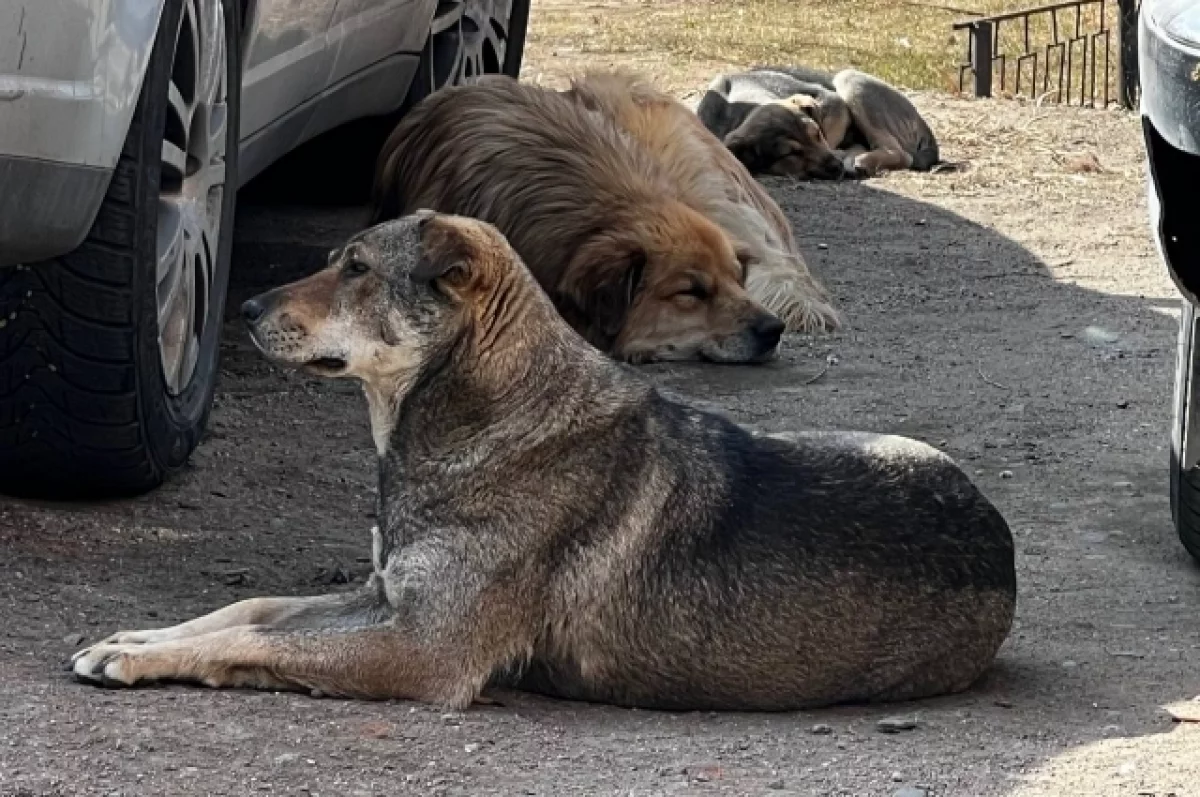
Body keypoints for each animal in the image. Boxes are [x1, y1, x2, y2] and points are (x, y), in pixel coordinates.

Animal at [70, 211, 1017, 710]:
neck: (485, 423)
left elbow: (260, 643)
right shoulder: (384, 596)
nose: (246, 306)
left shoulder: (422, 651)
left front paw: (141, 659)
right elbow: (250, 610)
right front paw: (136, 636)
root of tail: (1001, 543)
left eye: (358, 268)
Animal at [700, 66, 940, 178]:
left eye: (816, 133)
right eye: (790, 154)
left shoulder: (832, 102)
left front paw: (845, 155)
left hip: (848, 79)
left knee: (901, 154)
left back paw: (861, 160)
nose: (836, 167)